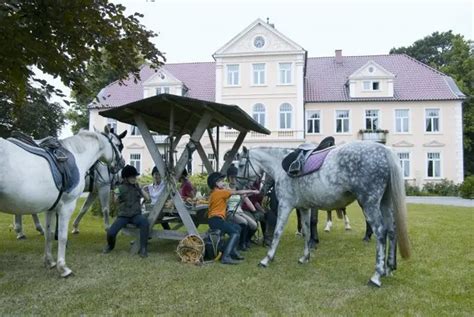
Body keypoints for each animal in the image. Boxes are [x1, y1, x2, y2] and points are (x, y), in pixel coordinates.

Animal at [0, 126, 124, 276]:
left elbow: (50, 233)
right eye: (118, 145)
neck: (78, 156)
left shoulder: (52, 208)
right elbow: (63, 236)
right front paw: (63, 267)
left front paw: (49, 261)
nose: (122, 164)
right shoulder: (70, 204)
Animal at [239, 141, 410, 286]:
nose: (239, 186)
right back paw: (389, 268)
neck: (281, 166)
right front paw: (305, 257)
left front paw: (267, 259)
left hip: (369, 204)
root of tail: (384, 150)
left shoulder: (285, 205)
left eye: (240, 164)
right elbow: (307, 231)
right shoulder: (304, 208)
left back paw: (376, 275)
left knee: (381, 232)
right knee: (392, 230)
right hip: (384, 203)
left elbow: (277, 232)